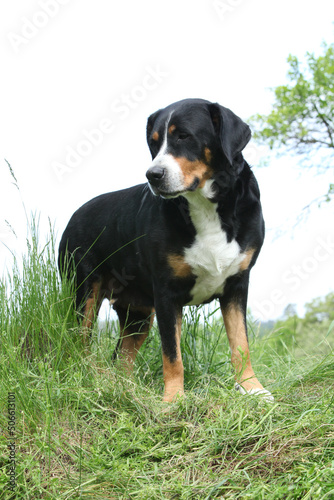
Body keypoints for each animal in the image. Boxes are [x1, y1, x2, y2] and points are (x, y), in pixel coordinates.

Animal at [58, 97, 274, 402]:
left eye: (183, 136)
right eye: (154, 141)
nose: (153, 174)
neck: (206, 208)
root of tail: (75, 214)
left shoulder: (237, 285)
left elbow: (240, 343)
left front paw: (252, 388)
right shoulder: (166, 293)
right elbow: (172, 354)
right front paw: (173, 400)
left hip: (137, 316)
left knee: (121, 359)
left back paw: (124, 390)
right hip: (84, 293)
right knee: (79, 343)